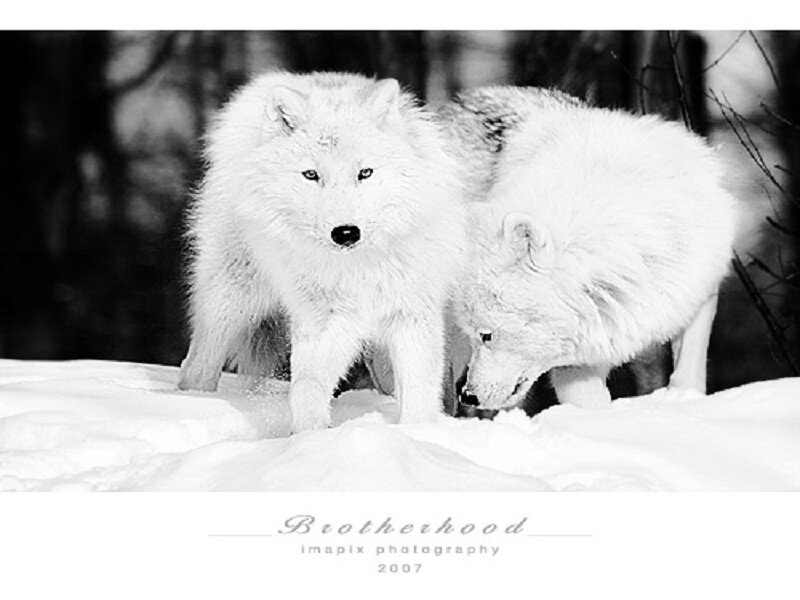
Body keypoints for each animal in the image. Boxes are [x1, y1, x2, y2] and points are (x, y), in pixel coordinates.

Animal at [178, 72, 468, 433]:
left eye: (365, 173)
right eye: (311, 175)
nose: (345, 233)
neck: (359, 267)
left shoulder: (411, 315)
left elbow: (418, 389)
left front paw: (416, 432)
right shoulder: (324, 321)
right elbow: (308, 386)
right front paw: (310, 437)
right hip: (230, 300)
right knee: (197, 364)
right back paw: (192, 401)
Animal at [441, 86, 742, 410]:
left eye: (486, 335)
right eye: (477, 334)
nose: (468, 395)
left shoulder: (696, 291)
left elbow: (690, 364)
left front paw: (684, 398)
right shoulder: (576, 363)